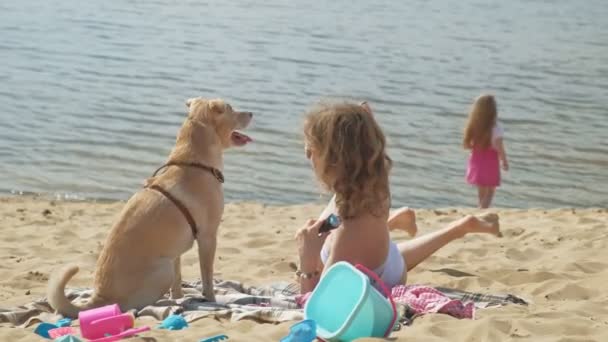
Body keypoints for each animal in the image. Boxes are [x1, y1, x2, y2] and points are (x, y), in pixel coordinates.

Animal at [47, 97, 252, 316]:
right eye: (231, 108)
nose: (251, 113)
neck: (192, 162)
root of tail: (99, 299)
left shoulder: (175, 250)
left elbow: (178, 283)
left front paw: (181, 298)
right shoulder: (207, 238)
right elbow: (207, 278)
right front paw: (211, 300)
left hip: (167, 263)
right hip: (163, 271)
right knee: (134, 306)